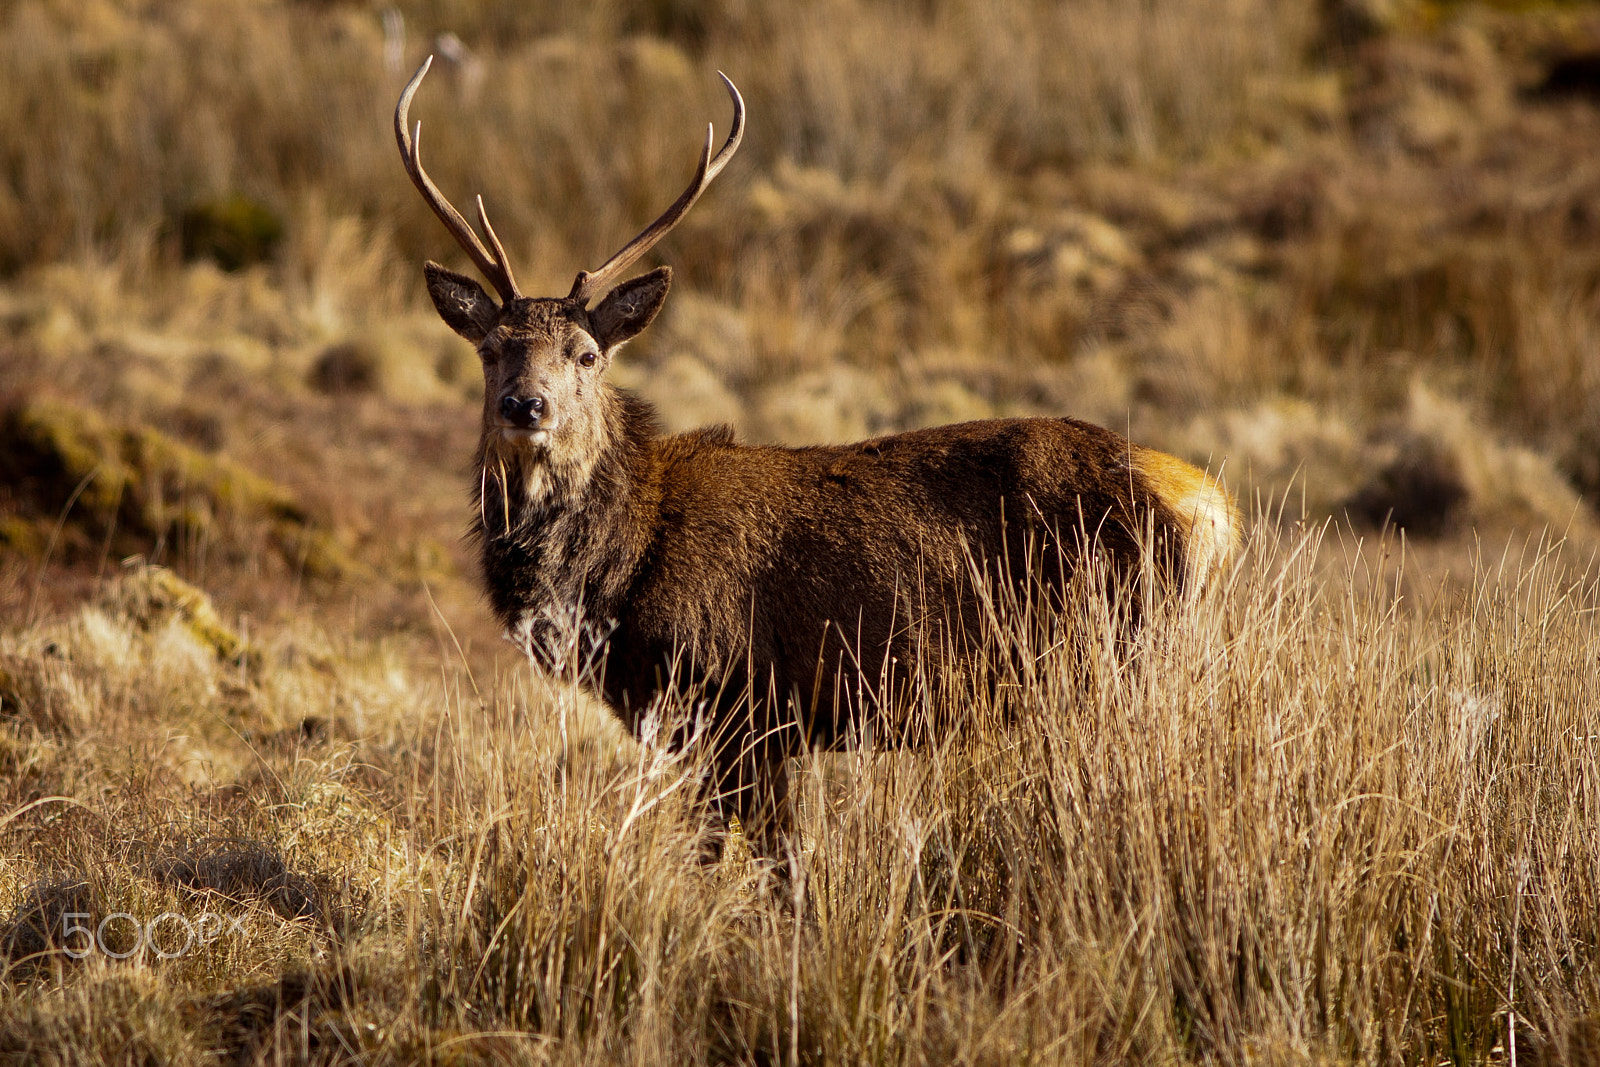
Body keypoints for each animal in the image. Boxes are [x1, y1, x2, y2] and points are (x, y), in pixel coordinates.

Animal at [395, 57, 1241, 866]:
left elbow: (769, 864)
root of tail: (1211, 509)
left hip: (1121, 650)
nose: (525, 406)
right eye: (491, 349)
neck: (618, 568)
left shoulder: (740, 701)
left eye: (586, 353)